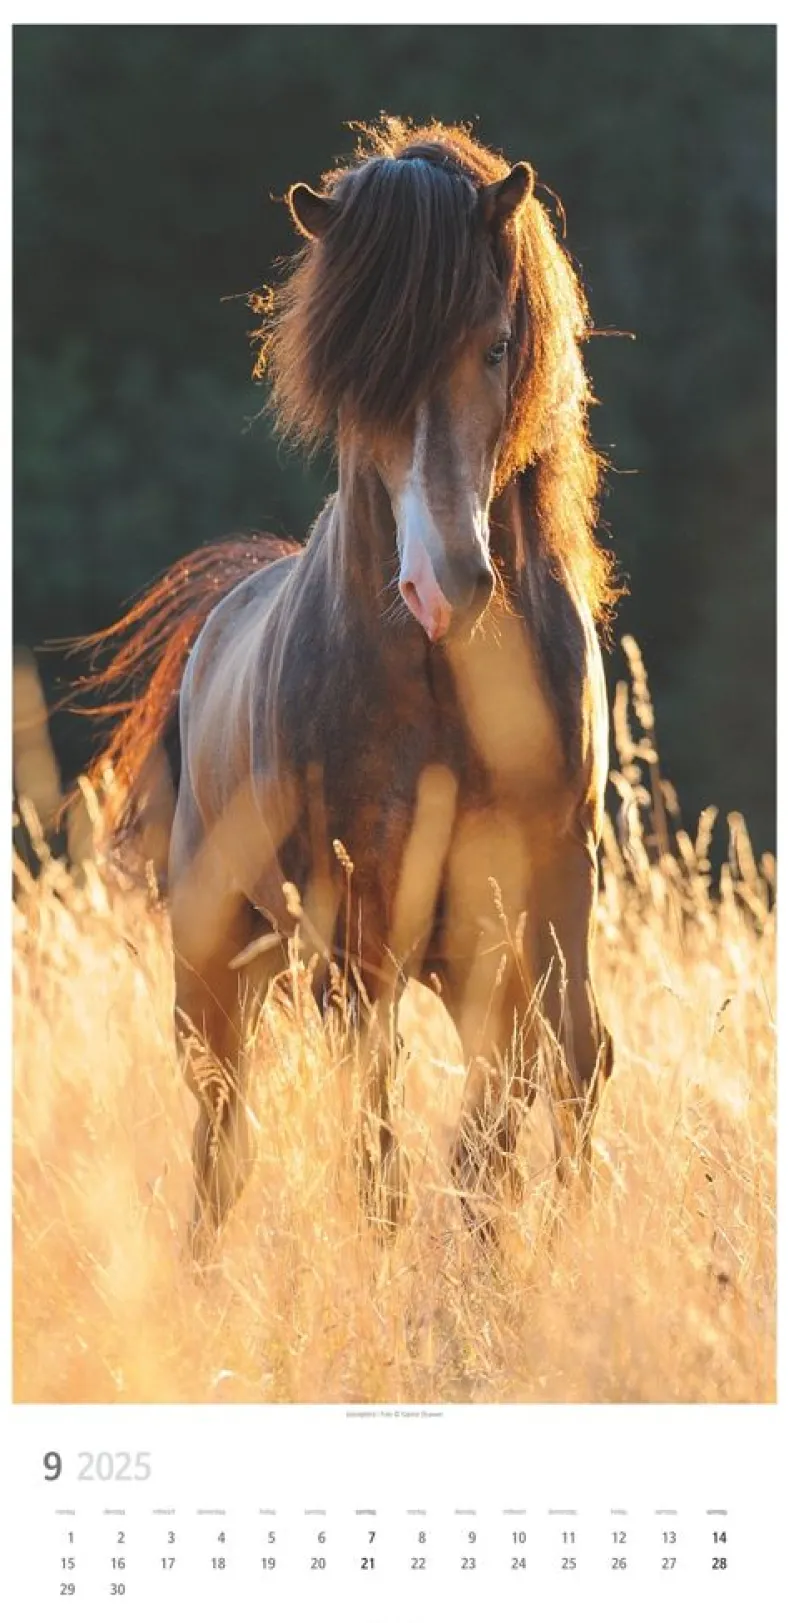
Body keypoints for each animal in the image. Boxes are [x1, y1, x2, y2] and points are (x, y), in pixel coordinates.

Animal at [84, 117, 617, 1255]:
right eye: (355, 370)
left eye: (495, 345)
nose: (445, 583)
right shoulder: (351, 937)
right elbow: (380, 1155)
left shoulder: (538, 905)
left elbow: (525, 1108)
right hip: (215, 974)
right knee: (222, 1139)